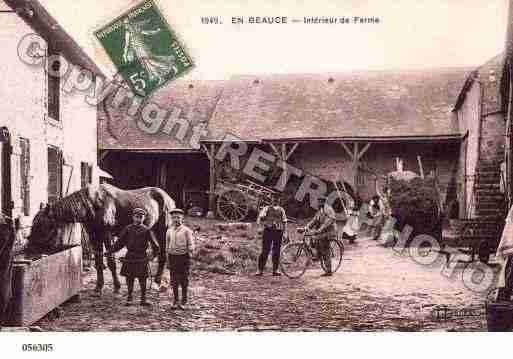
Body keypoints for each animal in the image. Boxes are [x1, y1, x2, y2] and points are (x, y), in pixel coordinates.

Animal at [27, 184, 176, 296]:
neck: (94, 205)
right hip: (151, 230)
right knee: (156, 250)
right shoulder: (94, 236)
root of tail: (168, 198)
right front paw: (98, 287)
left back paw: (156, 283)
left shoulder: (107, 235)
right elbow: (98, 262)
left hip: (162, 231)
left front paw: (116, 287)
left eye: (41, 225)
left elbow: (110, 261)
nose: (30, 249)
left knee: (163, 255)